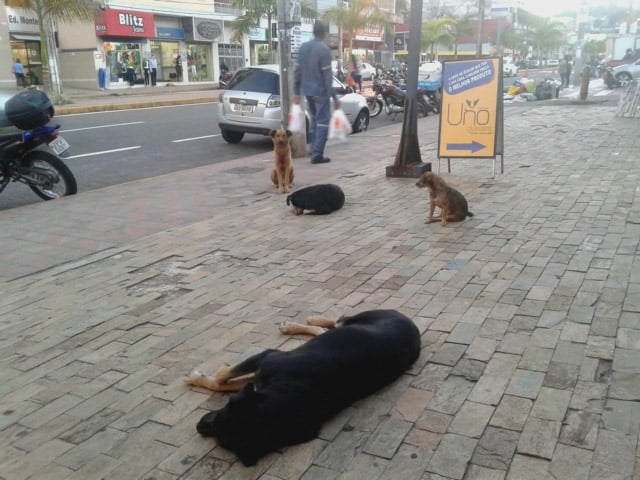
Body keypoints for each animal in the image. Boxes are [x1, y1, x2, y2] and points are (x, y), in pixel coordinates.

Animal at [182, 310, 420, 466]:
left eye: (220, 437)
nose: (198, 426)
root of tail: (412, 324)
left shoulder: (267, 359)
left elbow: (220, 379)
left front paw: (196, 377)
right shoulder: (263, 366)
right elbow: (223, 380)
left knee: (330, 325)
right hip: (354, 320)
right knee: (330, 324)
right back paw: (306, 321)